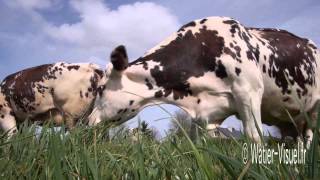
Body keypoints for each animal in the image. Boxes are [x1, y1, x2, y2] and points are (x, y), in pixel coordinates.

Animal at [89, 16, 320, 143]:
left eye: (100, 89)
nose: (88, 121)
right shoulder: (208, 113)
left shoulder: (249, 92)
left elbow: (254, 137)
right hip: (291, 121)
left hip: (314, 110)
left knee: (309, 139)